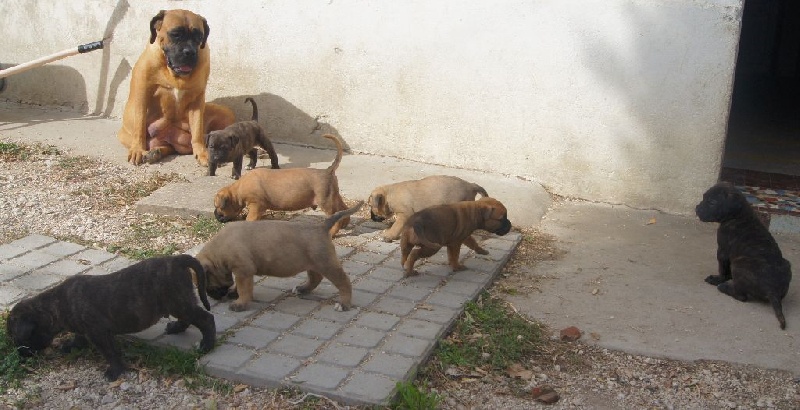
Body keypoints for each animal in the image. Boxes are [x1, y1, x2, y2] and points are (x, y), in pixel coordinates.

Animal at [117, 8, 234, 165]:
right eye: (176, 34)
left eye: (198, 36)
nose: (189, 52)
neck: (174, 74)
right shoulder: (142, 93)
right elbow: (139, 125)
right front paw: (138, 150)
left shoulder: (197, 100)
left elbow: (197, 130)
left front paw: (202, 153)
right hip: (125, 135)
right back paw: (154, 152)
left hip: (225, 112)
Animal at [198, 201, 364, 310]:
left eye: (205, 283)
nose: (214, 298)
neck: (218, 251)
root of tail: (322, 227)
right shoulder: (242, 273)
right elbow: (240, 286)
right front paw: (234, 293)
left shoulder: (243, 271)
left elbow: (244, 289)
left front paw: (240, 303)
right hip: (313, 262)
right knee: (315, 278)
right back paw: (303, 289)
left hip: (327, 264)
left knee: (344, 282)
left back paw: (344, 304)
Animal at [212, 135, 350, 237]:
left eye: (217, 206)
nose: (215, 215)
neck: (238, 189)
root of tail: (328, 171)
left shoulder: (256, 206)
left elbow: (249, 219)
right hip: (333, 197)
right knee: (344, 209)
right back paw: (345, 224)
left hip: (326, 203)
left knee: (336, 217)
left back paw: (332, 232)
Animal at [696, 183, 792, 330]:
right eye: (704, 197)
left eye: (712, 202)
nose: (697, 209)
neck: (739, 215)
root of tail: (772, 291)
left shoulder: (723, 251)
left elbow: (723, 269)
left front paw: (717, 279)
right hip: (787, 264)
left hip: (739, 265)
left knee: (742, 296)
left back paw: (724, 287)